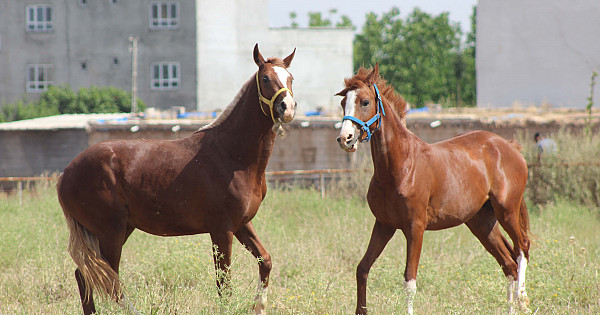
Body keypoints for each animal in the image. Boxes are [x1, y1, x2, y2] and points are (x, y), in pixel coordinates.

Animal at [57, 43, 296, 314]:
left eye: (290, 77)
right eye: (265, 78)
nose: (287, 108)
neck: (230, 154)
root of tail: (66, 174)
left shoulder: (242, 224)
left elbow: (265, 260)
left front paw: (259, 305)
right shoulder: (221, 229)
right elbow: (224, 284)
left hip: (117, 230)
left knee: (85, 276)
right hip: (111, 233)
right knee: (111, 283)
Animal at [336, 65, 532, 314]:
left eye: (364, 101)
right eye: (343, 102)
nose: (345, 139)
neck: (400, 167)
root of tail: (510, 147)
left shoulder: (415, 228)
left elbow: (409, 281)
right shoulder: (384, 225)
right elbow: (362, 268)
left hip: (507, 211)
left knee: (521, 249)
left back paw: (523, 298)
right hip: (482, 223)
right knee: (508, 264)